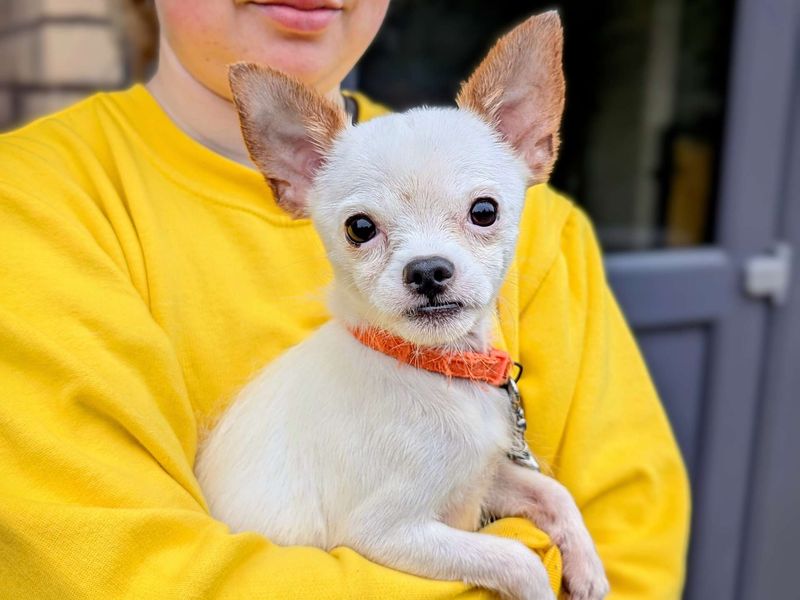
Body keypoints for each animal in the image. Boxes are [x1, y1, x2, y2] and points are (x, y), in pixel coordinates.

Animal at [197, 12, 608, 600]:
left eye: (485, 211)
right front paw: (540, 588)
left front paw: (588, 567)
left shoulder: (482, 477)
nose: (428, 270)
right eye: (359, 229)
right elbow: (514, 557)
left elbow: (553, 493)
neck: (435, 371)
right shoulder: (388, 533)